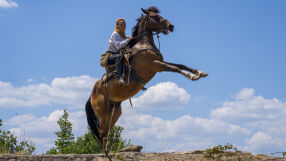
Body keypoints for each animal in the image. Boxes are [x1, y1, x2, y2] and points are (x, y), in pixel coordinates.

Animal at [85, 6, 208, 160]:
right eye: (154, 17)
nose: (171, 26)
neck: (143, 46)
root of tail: (91, 95)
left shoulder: (160, 63)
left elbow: (180, 65)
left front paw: (199, 72)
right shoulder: (157, 66)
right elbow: (175, 68)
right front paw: (192, 76)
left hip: (113, 112)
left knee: (106, 133)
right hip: (102, 112)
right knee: (102, 133)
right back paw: (109, 155)